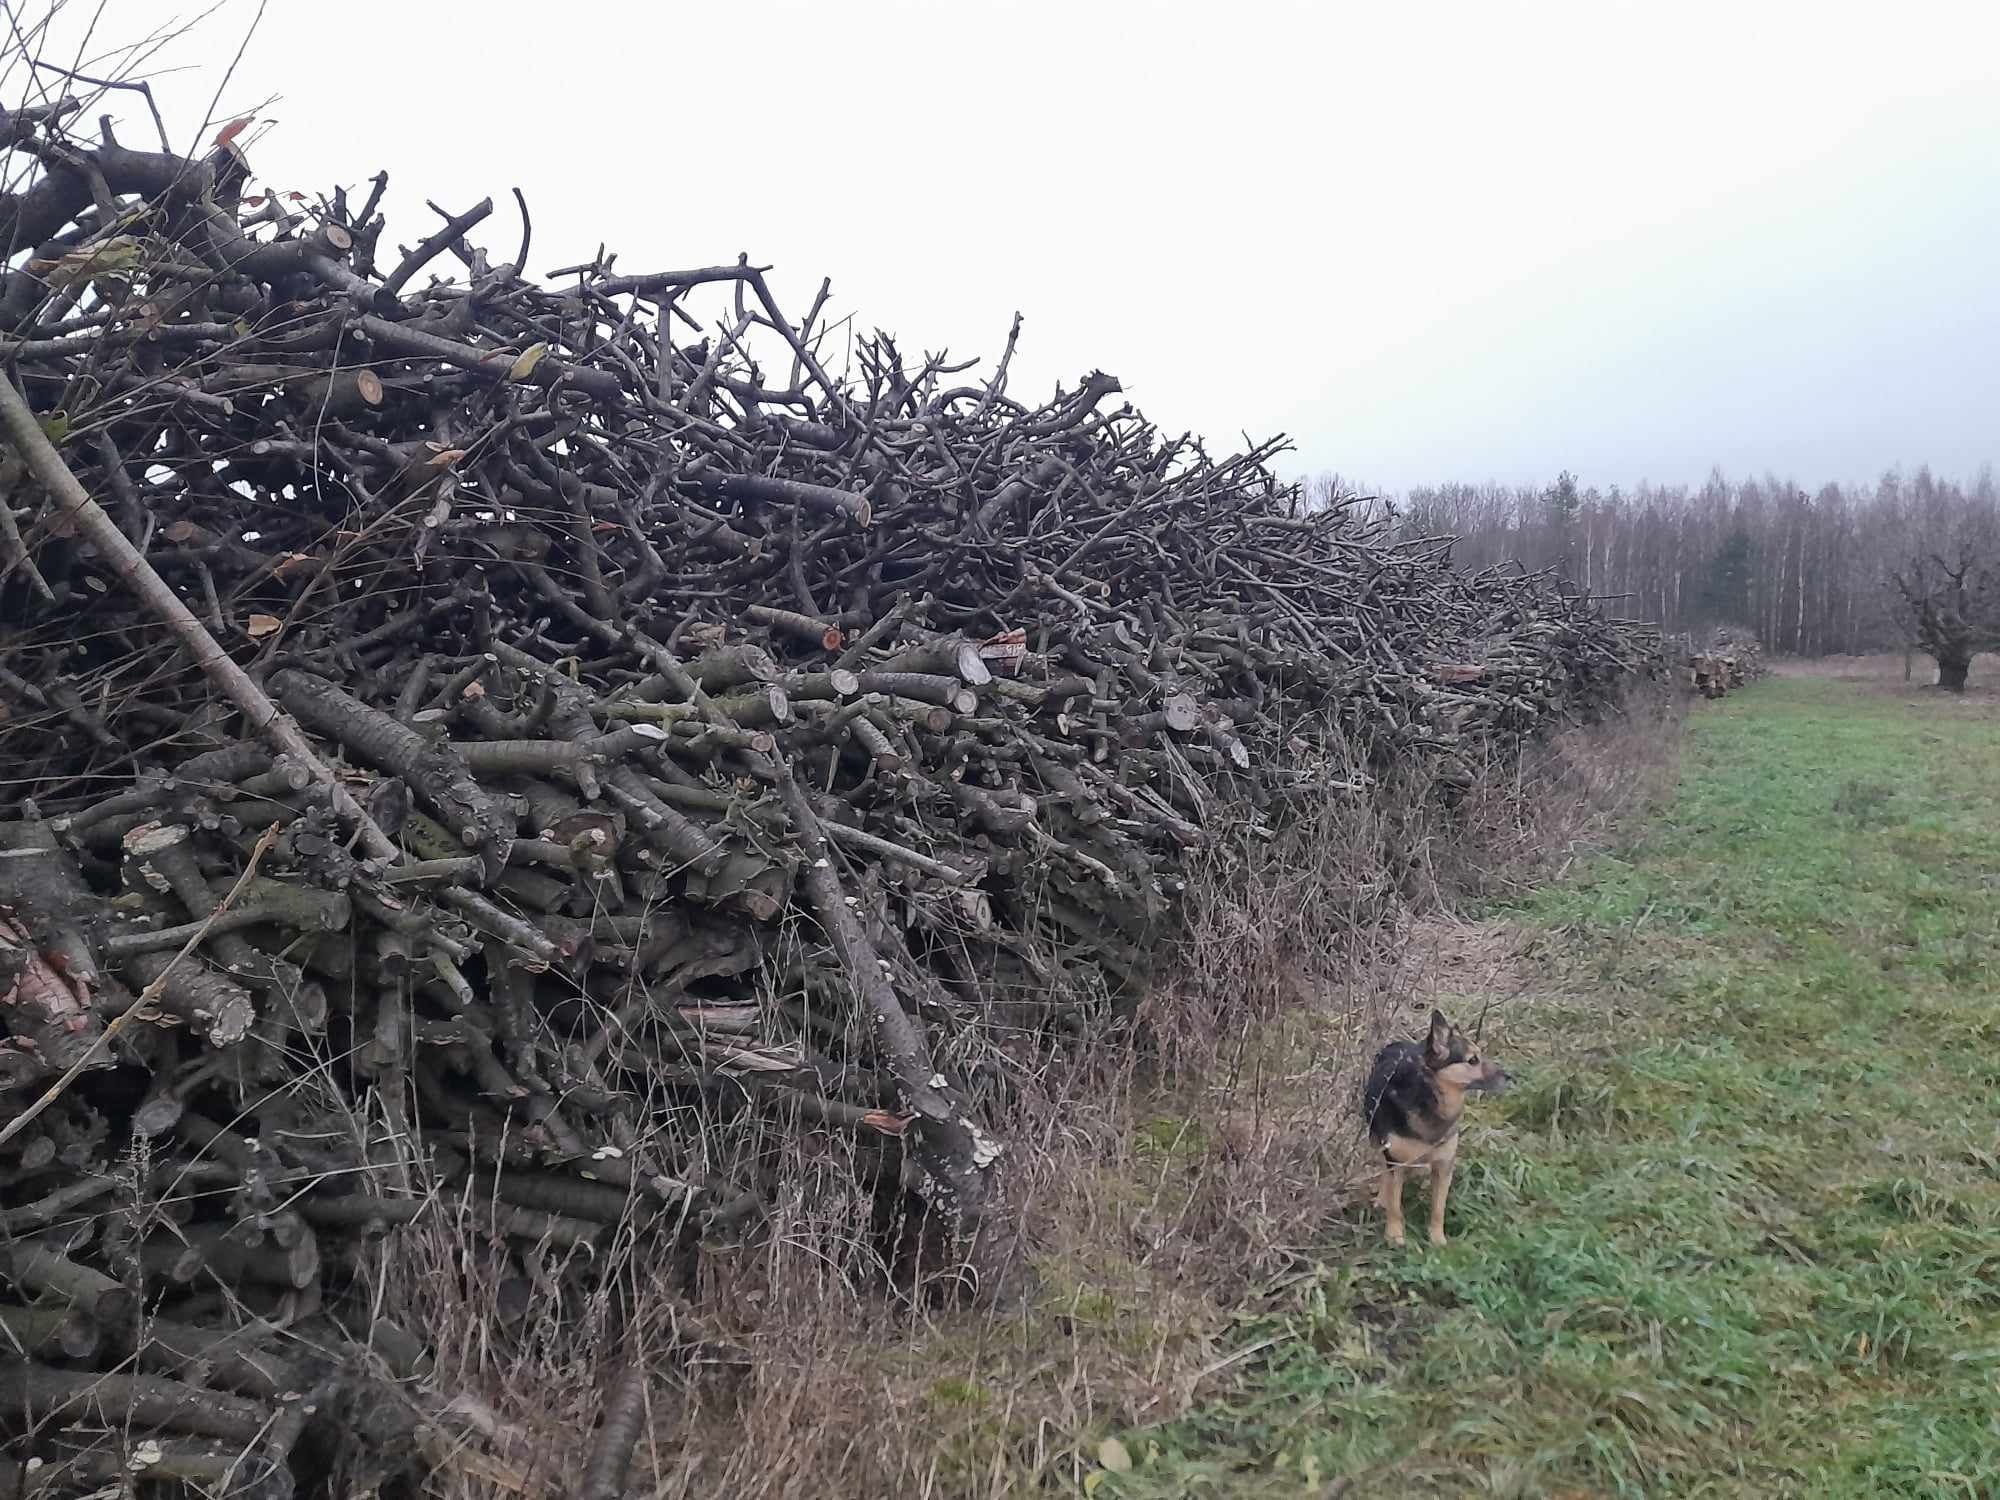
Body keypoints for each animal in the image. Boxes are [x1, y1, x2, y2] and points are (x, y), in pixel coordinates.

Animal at [1360, 1016, 1512, 1248]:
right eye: (1473, 1060)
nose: (1510, 1076)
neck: (1431, 1098)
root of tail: (1398, 1043)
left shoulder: (1444, 1165)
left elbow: (1438, 1208)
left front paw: (1437, 1239)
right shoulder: (1396, 1161)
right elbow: (1395, 1206)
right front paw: (1394, 1236)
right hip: (1378, 1141)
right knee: (1383, 1171)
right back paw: (1381, 1199)